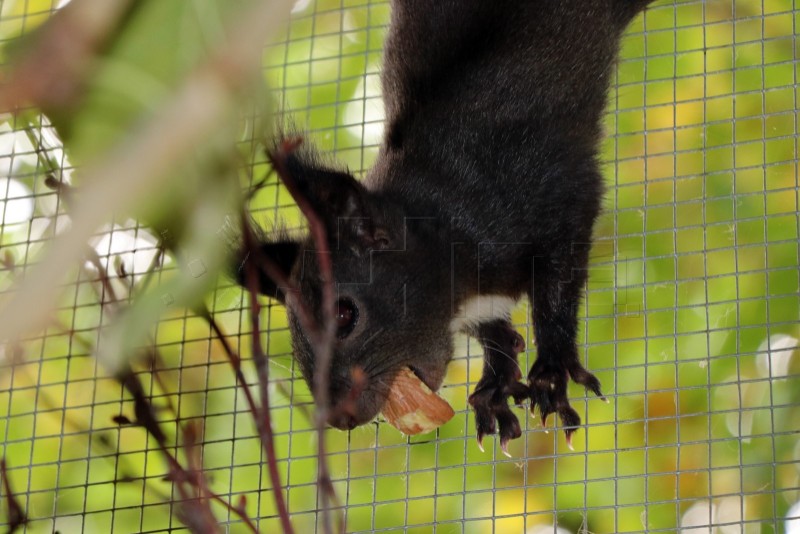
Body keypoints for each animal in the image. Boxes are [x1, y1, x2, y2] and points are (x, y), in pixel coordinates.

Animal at [236, 0, 656, 452]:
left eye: (344, 314)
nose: (339, 418)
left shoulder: (550, 186)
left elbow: (558, 278)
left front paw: (552, 369)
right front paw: (497, 375)